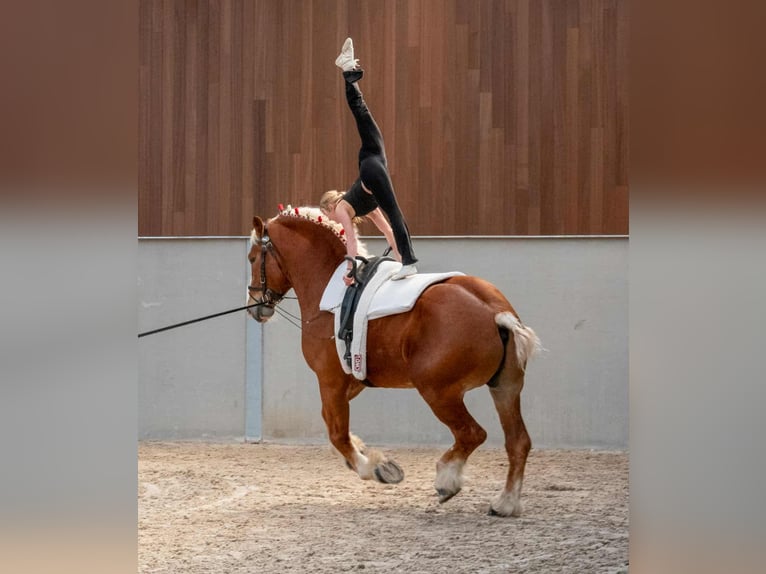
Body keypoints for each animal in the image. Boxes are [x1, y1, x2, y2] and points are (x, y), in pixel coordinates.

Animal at [247, 206, 541, 516]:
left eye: (252, 258)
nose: (255, 305)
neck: (328, 287)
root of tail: (494, 311)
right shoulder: (351, 382)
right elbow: (337, 426)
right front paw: (365, 453)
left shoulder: (330, 381)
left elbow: (336, 431)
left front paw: (375, 468)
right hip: (504, 389)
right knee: (518, 442)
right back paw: (505, 502)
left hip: (438, 392)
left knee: (472, 434)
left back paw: (447, 480)